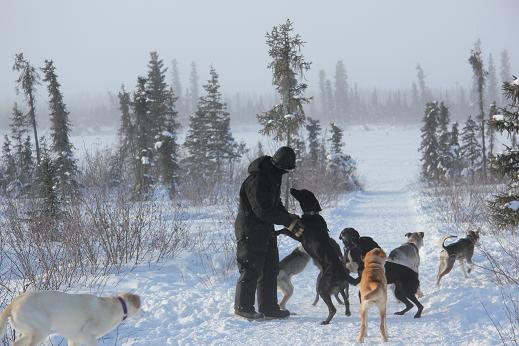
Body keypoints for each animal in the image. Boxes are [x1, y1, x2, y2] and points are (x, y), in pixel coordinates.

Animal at [0, 290, 141, 344]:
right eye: (140, 308)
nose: (144, 313)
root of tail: (13, 303)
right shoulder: (88, 335)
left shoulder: (73, 338)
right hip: (41, 330)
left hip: (30, 332)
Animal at [278, 188, 360, 324]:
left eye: (302, 191)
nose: (291, 189)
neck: (312, 214)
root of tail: (341, 272)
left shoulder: (299, 235)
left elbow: (285, 230)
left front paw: (275, 232)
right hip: (336, 288)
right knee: (344, 301)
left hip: (322, 288)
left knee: (332, 309)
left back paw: (326, 321)